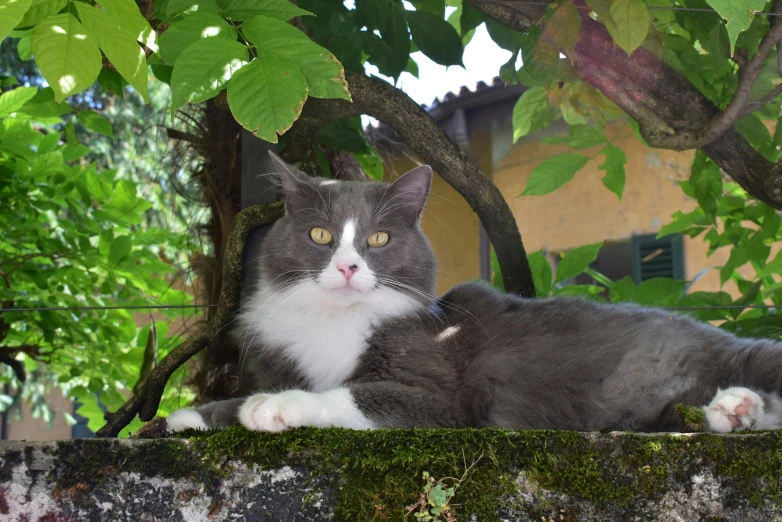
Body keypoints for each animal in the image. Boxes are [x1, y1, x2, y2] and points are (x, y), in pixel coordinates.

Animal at [167, 152, 782, 432]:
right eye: (320, 236)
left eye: (378, 239)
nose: (346, 267)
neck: (335, 321)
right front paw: (187, 417)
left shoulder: (443, 396)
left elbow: (346, 395)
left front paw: (273, 407)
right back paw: (734, 410)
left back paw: (739, 405)